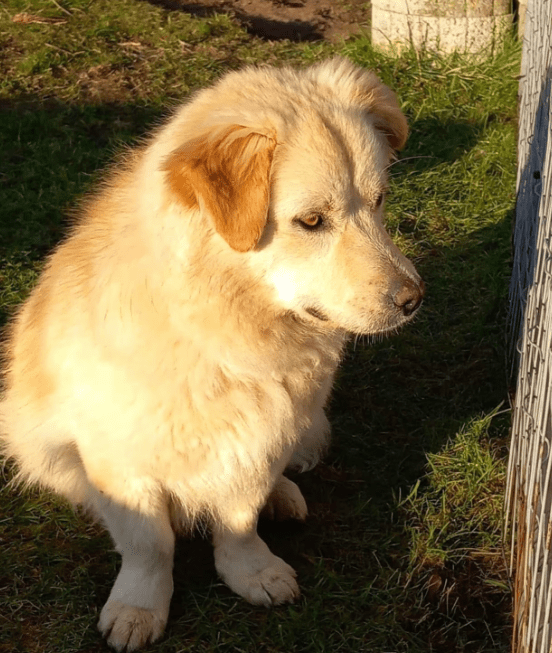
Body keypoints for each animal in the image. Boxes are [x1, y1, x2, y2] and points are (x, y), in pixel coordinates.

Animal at [0, 58, 424, 648]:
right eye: (311, 221)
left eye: (380, 200)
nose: (414, 300)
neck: (222, 331)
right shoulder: (121, 461)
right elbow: (149, 543)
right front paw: (139, 606)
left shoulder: (259, 441)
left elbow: (240, 520)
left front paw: (252, 570)